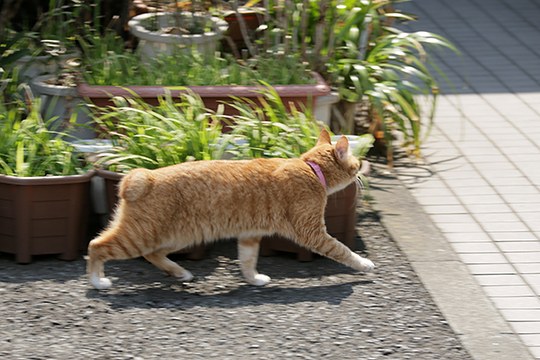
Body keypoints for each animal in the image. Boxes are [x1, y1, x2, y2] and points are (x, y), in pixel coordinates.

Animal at [87, 129, 376, 290]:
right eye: (356, 162)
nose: (362, 168)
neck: (310, 169)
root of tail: (143, 176)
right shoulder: (312, 232)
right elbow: (342, 250)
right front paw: (364, 264)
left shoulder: (250, 235)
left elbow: (247, 262)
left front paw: (254, 280)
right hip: (141, 236)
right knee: (96, 246)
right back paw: (98, 281)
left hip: (178, 236)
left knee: (153, 255)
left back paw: (179, 272)